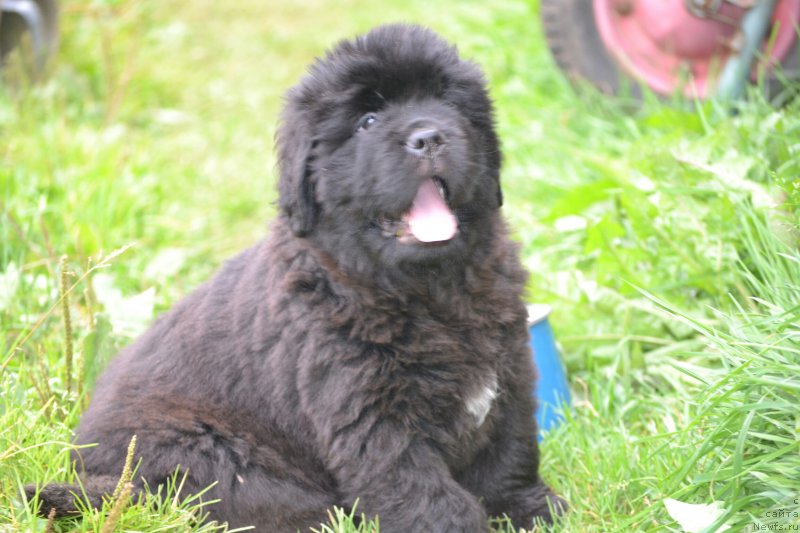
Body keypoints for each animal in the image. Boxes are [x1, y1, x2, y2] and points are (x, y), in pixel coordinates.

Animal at [29, 22, 564, 528]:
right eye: (368, 121)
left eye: (447, 103)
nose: (429, 136)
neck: (429, 288)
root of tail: (87, 465)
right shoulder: (371, 412)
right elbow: (419, 490)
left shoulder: (510, 373)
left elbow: (509, 456)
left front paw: (528, 509)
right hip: (208, 456)